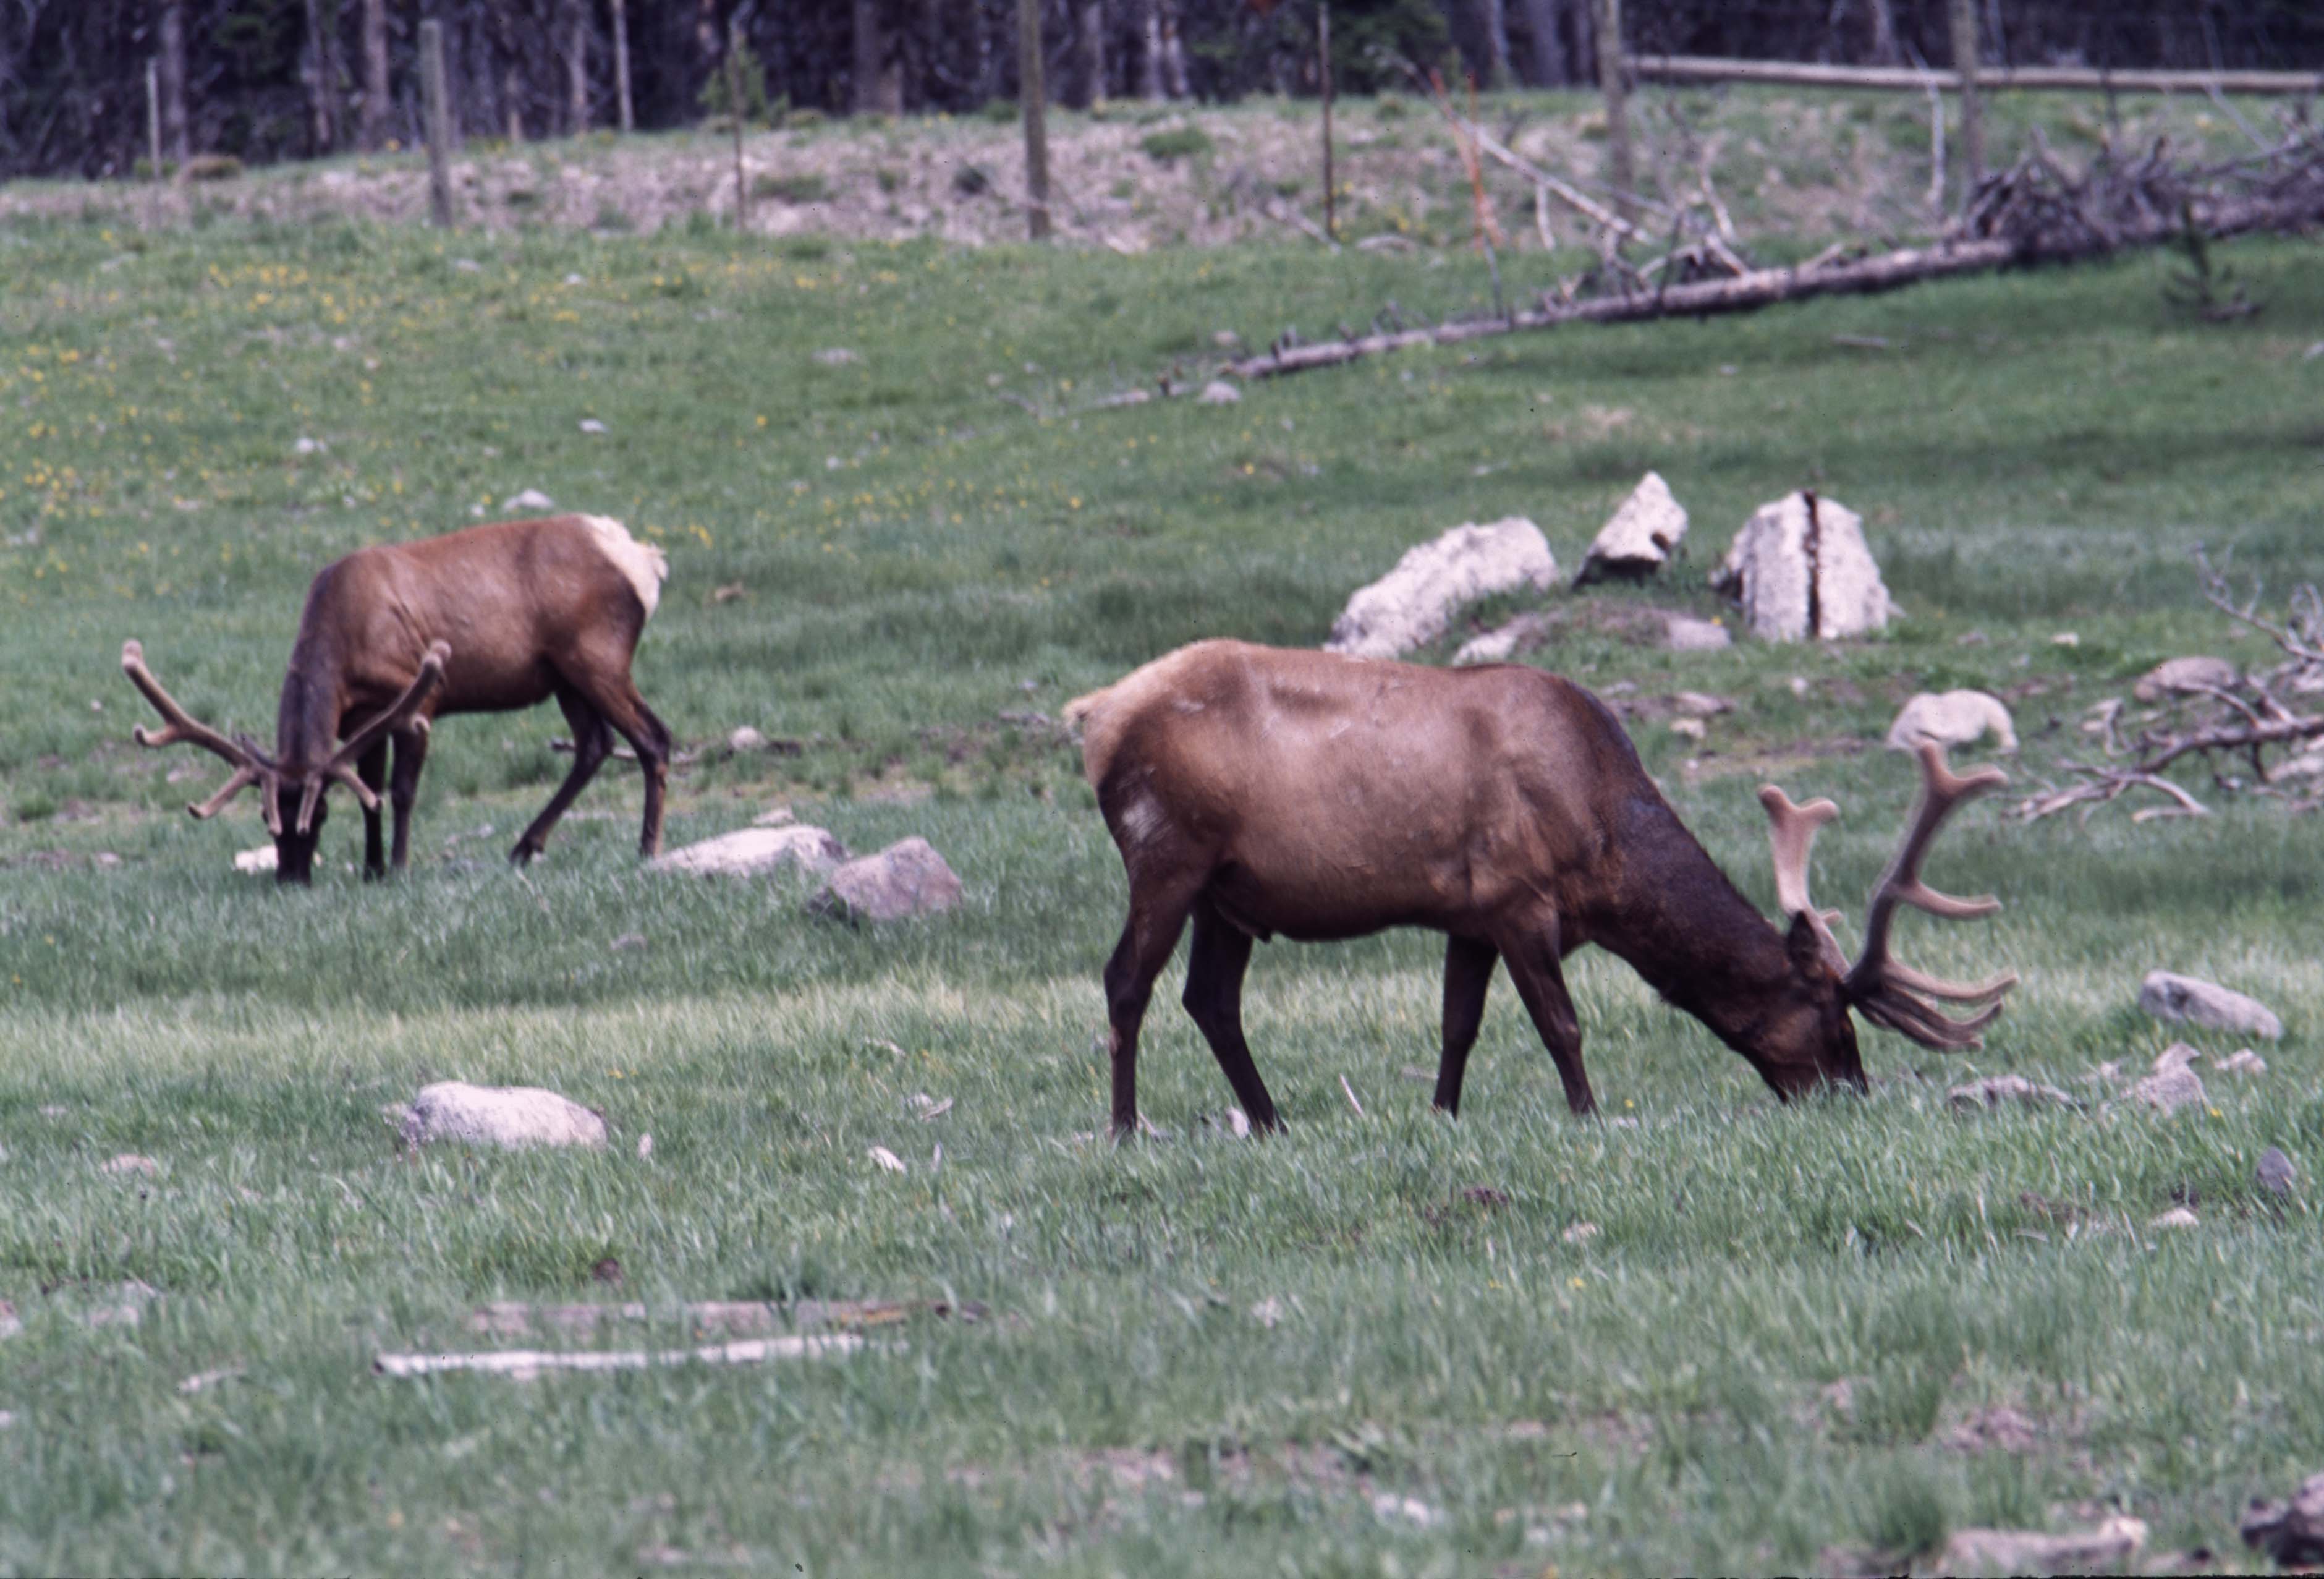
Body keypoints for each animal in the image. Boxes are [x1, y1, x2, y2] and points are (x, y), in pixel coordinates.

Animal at [121, 514, 673, 886]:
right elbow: (371, 793)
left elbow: (403, 791)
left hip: (598, 656)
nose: (291, 878)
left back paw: (647, 850)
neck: (341, 636)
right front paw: (371, 868)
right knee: (595, 745)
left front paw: (400, 868)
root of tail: (645, 561)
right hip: (564, 677)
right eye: (265, 816)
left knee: (653, 737)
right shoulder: (361, 718)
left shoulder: (415, 704)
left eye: (320, 814)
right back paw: (524, 846)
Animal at [1065, 640, 2016, 1136]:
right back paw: (1124, 1128)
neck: (1604, 845)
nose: (1851, 1093)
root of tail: (1093, 716)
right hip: (1167, 851)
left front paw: (1443, 1118)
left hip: (1228, 891)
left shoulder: (1468, 913)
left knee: (1210, 998)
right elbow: (1561, 1025)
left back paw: (1271, 1123)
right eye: (1831, 1015)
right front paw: (1588, 1118)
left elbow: (1458, 1026)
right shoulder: (1519, 898)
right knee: (1126, 982)